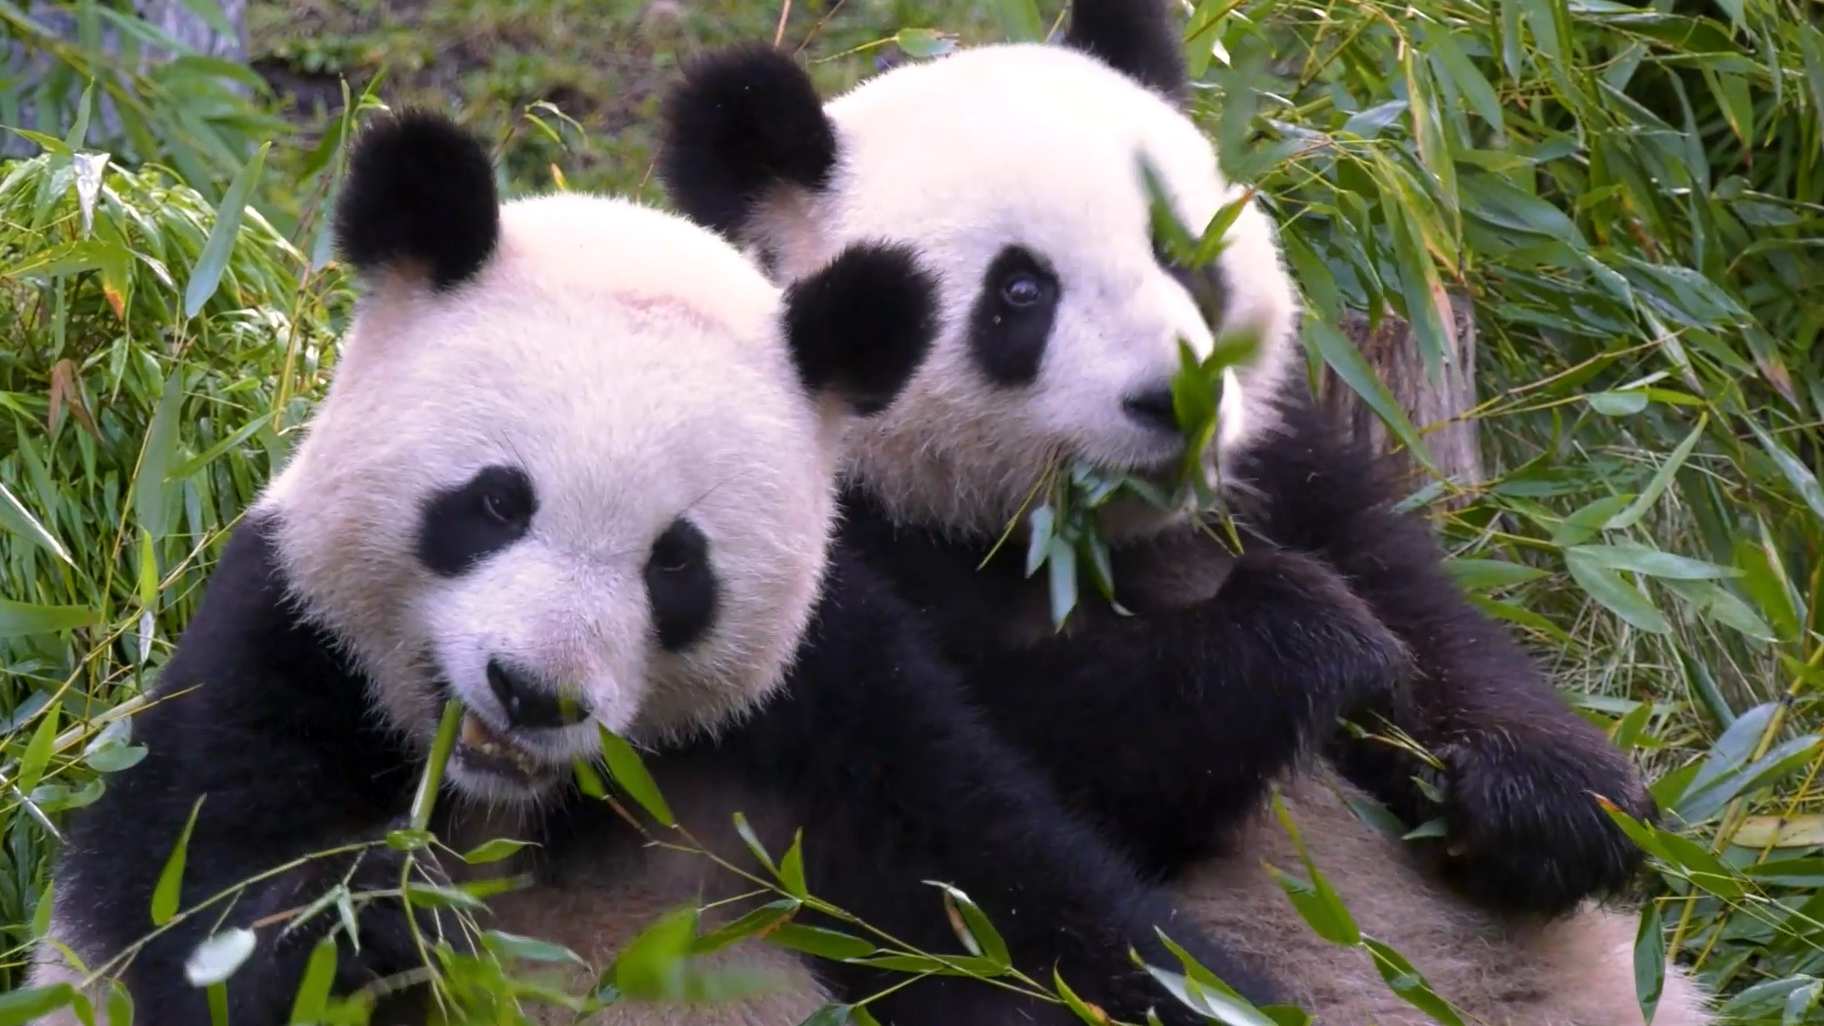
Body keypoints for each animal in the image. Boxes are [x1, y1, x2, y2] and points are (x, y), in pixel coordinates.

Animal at [24, 105, 1284, 1022]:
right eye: (495, 503)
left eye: (676, 565)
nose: (532, 693)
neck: (520, 805)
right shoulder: (280, 659)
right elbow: (204, 921)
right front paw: (375, 919)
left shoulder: (828, 722)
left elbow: (1028, 922)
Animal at [660, 3, 1721, 1015]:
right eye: (1019, 291)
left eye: (1180, 249)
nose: (1180, 398)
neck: (1089, 541)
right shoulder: (842, 557)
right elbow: (1019, 762)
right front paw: (1305, 635)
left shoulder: (1276, 466)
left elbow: (1420, 603)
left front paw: (1547, 803)